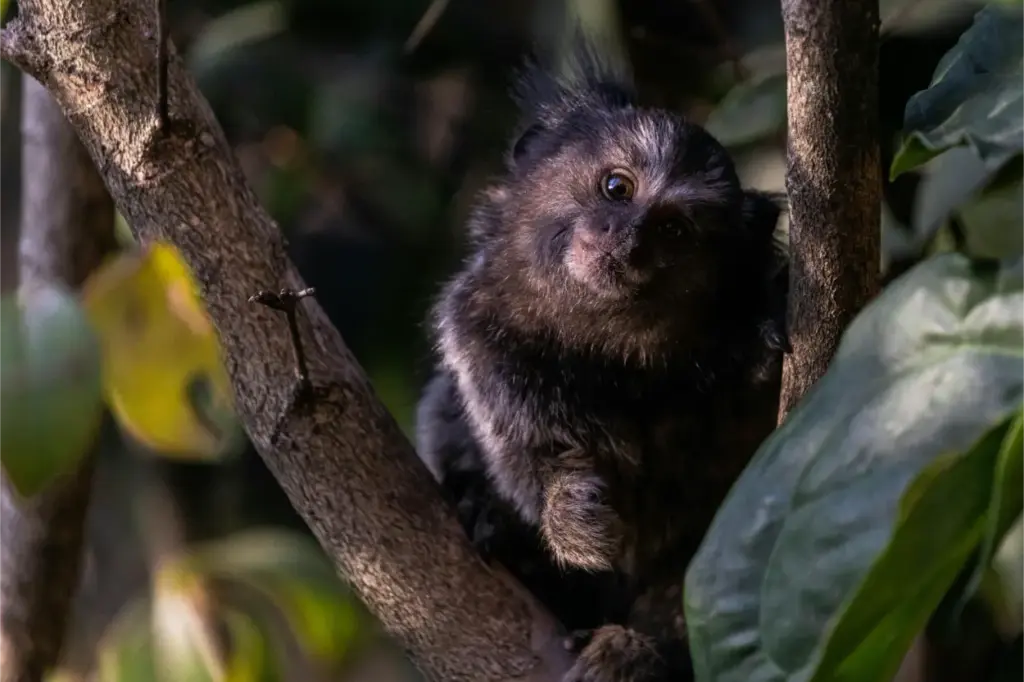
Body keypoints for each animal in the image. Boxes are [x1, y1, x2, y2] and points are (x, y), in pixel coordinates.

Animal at [415, 40, 789, 682]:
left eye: (673, 230)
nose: (628, 238)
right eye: (617, 187)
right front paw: (574, 513)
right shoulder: (481, 343)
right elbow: (530, 461)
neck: (609, 362)